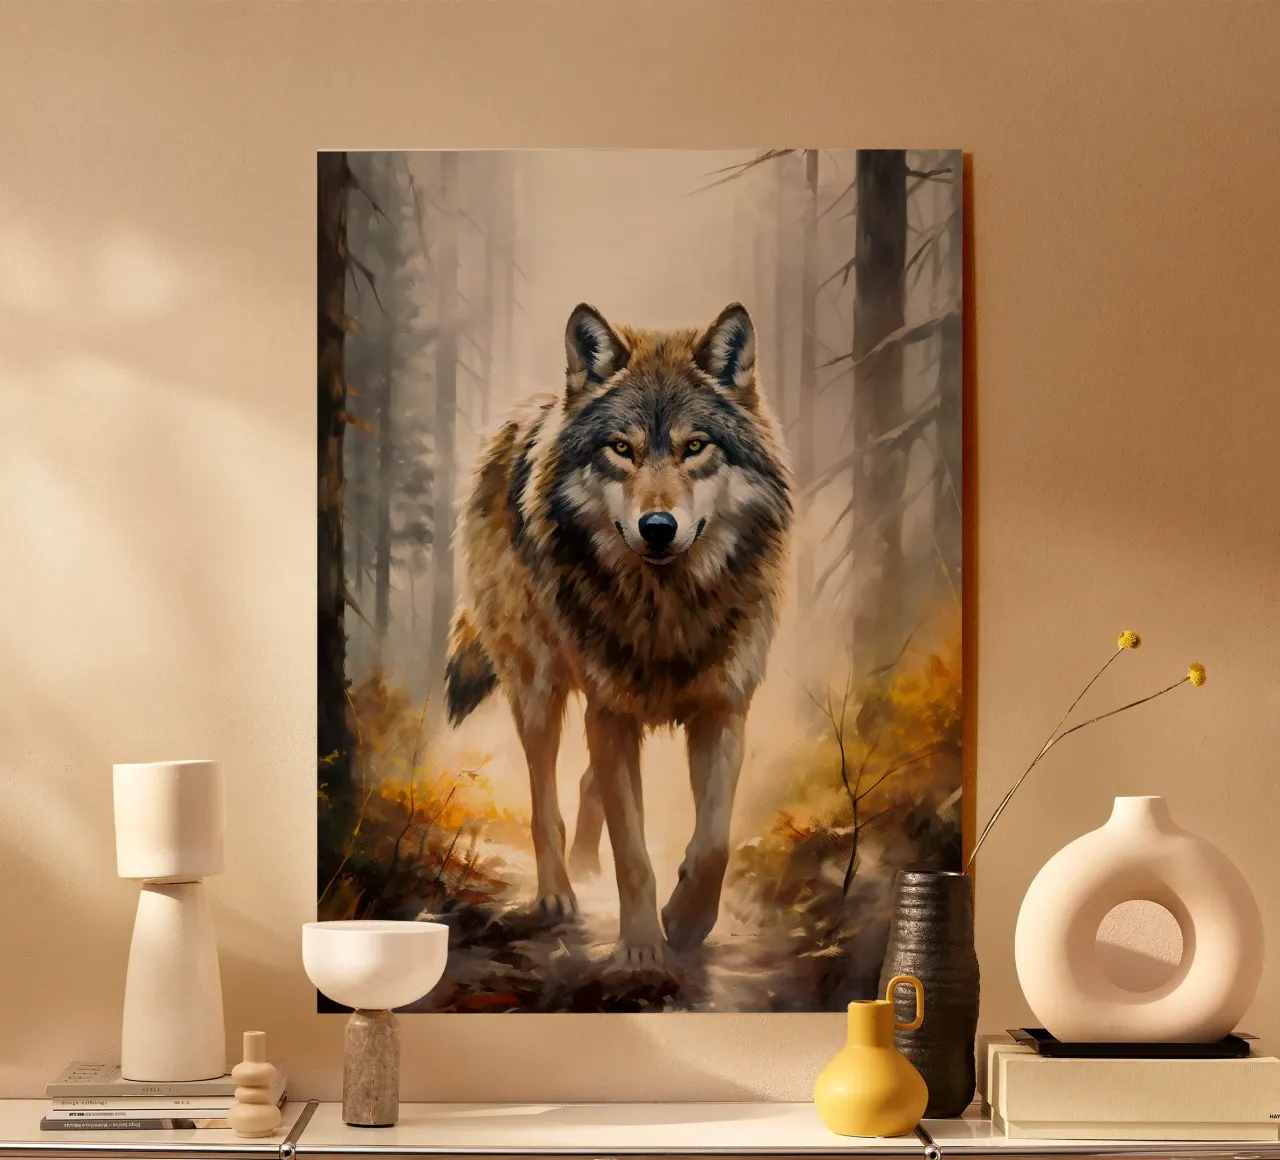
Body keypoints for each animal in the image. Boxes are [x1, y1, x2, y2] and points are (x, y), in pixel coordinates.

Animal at [444, 302, 792, 966]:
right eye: (621, 448)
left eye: (695, 446)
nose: (657, 527)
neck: (666, 609)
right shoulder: (610, 712)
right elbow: (632, 852)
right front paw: (641, 948)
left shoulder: (722, 708)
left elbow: (714, 844)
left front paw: (685, 921)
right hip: (539, 689)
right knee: (545, 803)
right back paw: (559, 892)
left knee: (587, 784)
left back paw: (586, 867)